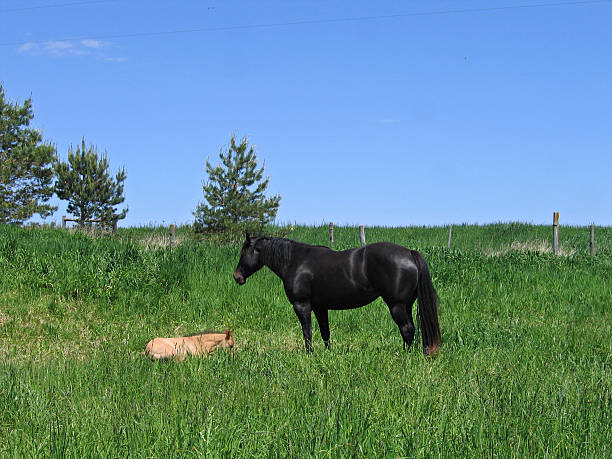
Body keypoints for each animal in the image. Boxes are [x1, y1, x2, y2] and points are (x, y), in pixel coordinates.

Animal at [233, 234, 440, 356]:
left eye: (244, 252)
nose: (237, 277)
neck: (295, 261)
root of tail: (409, 253)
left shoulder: (302, 305)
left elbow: (307, 331)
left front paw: (309, 355)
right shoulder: (320, 307)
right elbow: (325, 331)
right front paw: (328, 353)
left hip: (396, 305)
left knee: (407, 329)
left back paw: (404, 356)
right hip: (406, 305)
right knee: (410, 329)